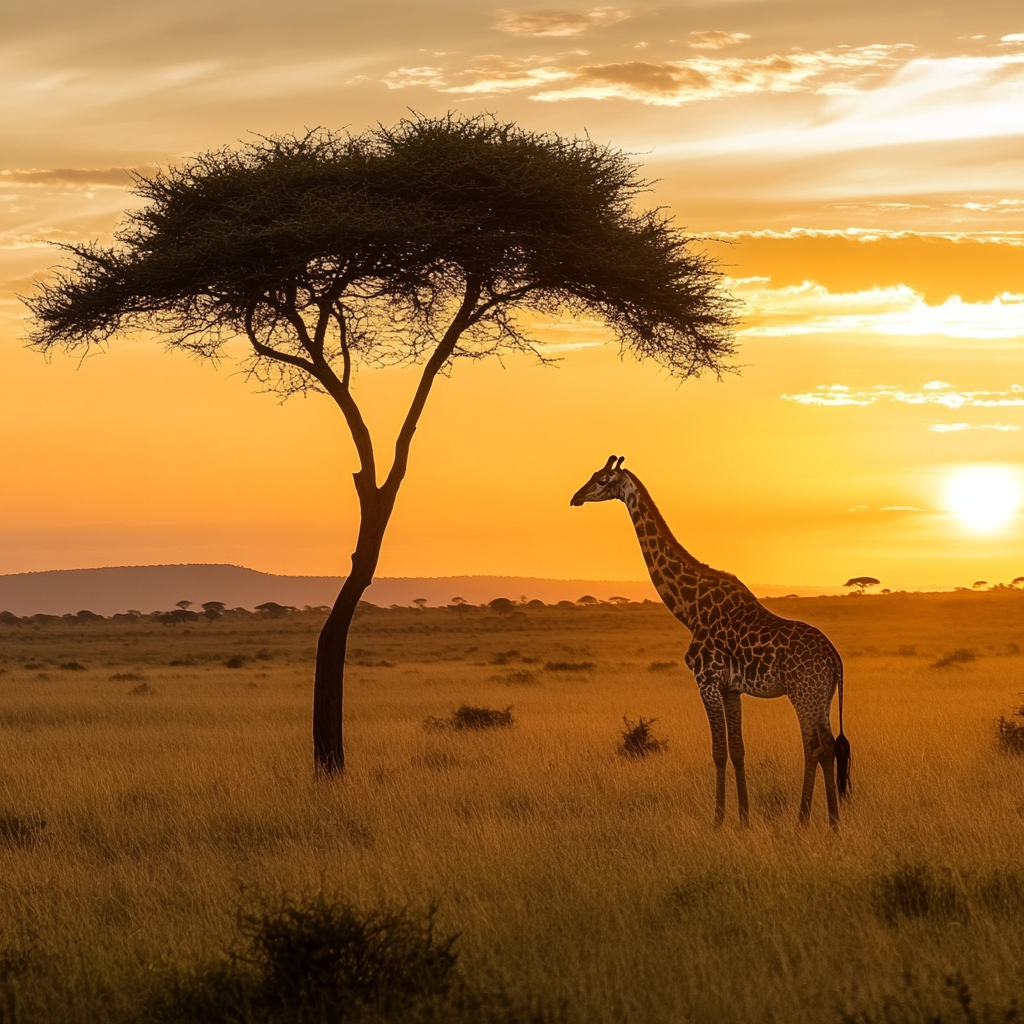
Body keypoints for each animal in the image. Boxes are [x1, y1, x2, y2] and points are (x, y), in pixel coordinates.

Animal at [571, 455, 851, 827]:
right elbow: (738, 750)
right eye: (593, 475)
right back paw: (832, 822)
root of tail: (836, 659)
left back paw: (803, 820)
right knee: (828, 745)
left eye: (602, 480)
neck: (691, 608)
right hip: (821, 695)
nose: (575, 498)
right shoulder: (731, 688)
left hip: (803, 692)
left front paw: (717, 821)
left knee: (814, 745)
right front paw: (743, 818)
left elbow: (718, 752)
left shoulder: (707, 681)